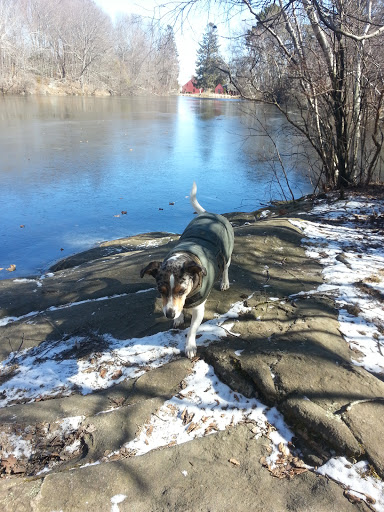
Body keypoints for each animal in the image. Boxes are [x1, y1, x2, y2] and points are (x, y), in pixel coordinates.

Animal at [140, 182, 232, 358]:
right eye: (160, 291)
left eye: (181, 291)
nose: (169, 314)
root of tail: (209, 213)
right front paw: (178, 317)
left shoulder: (199, 309)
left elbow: (192, 329)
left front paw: (189, 346)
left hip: (227, 253)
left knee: (225, 268)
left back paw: (224, 282)